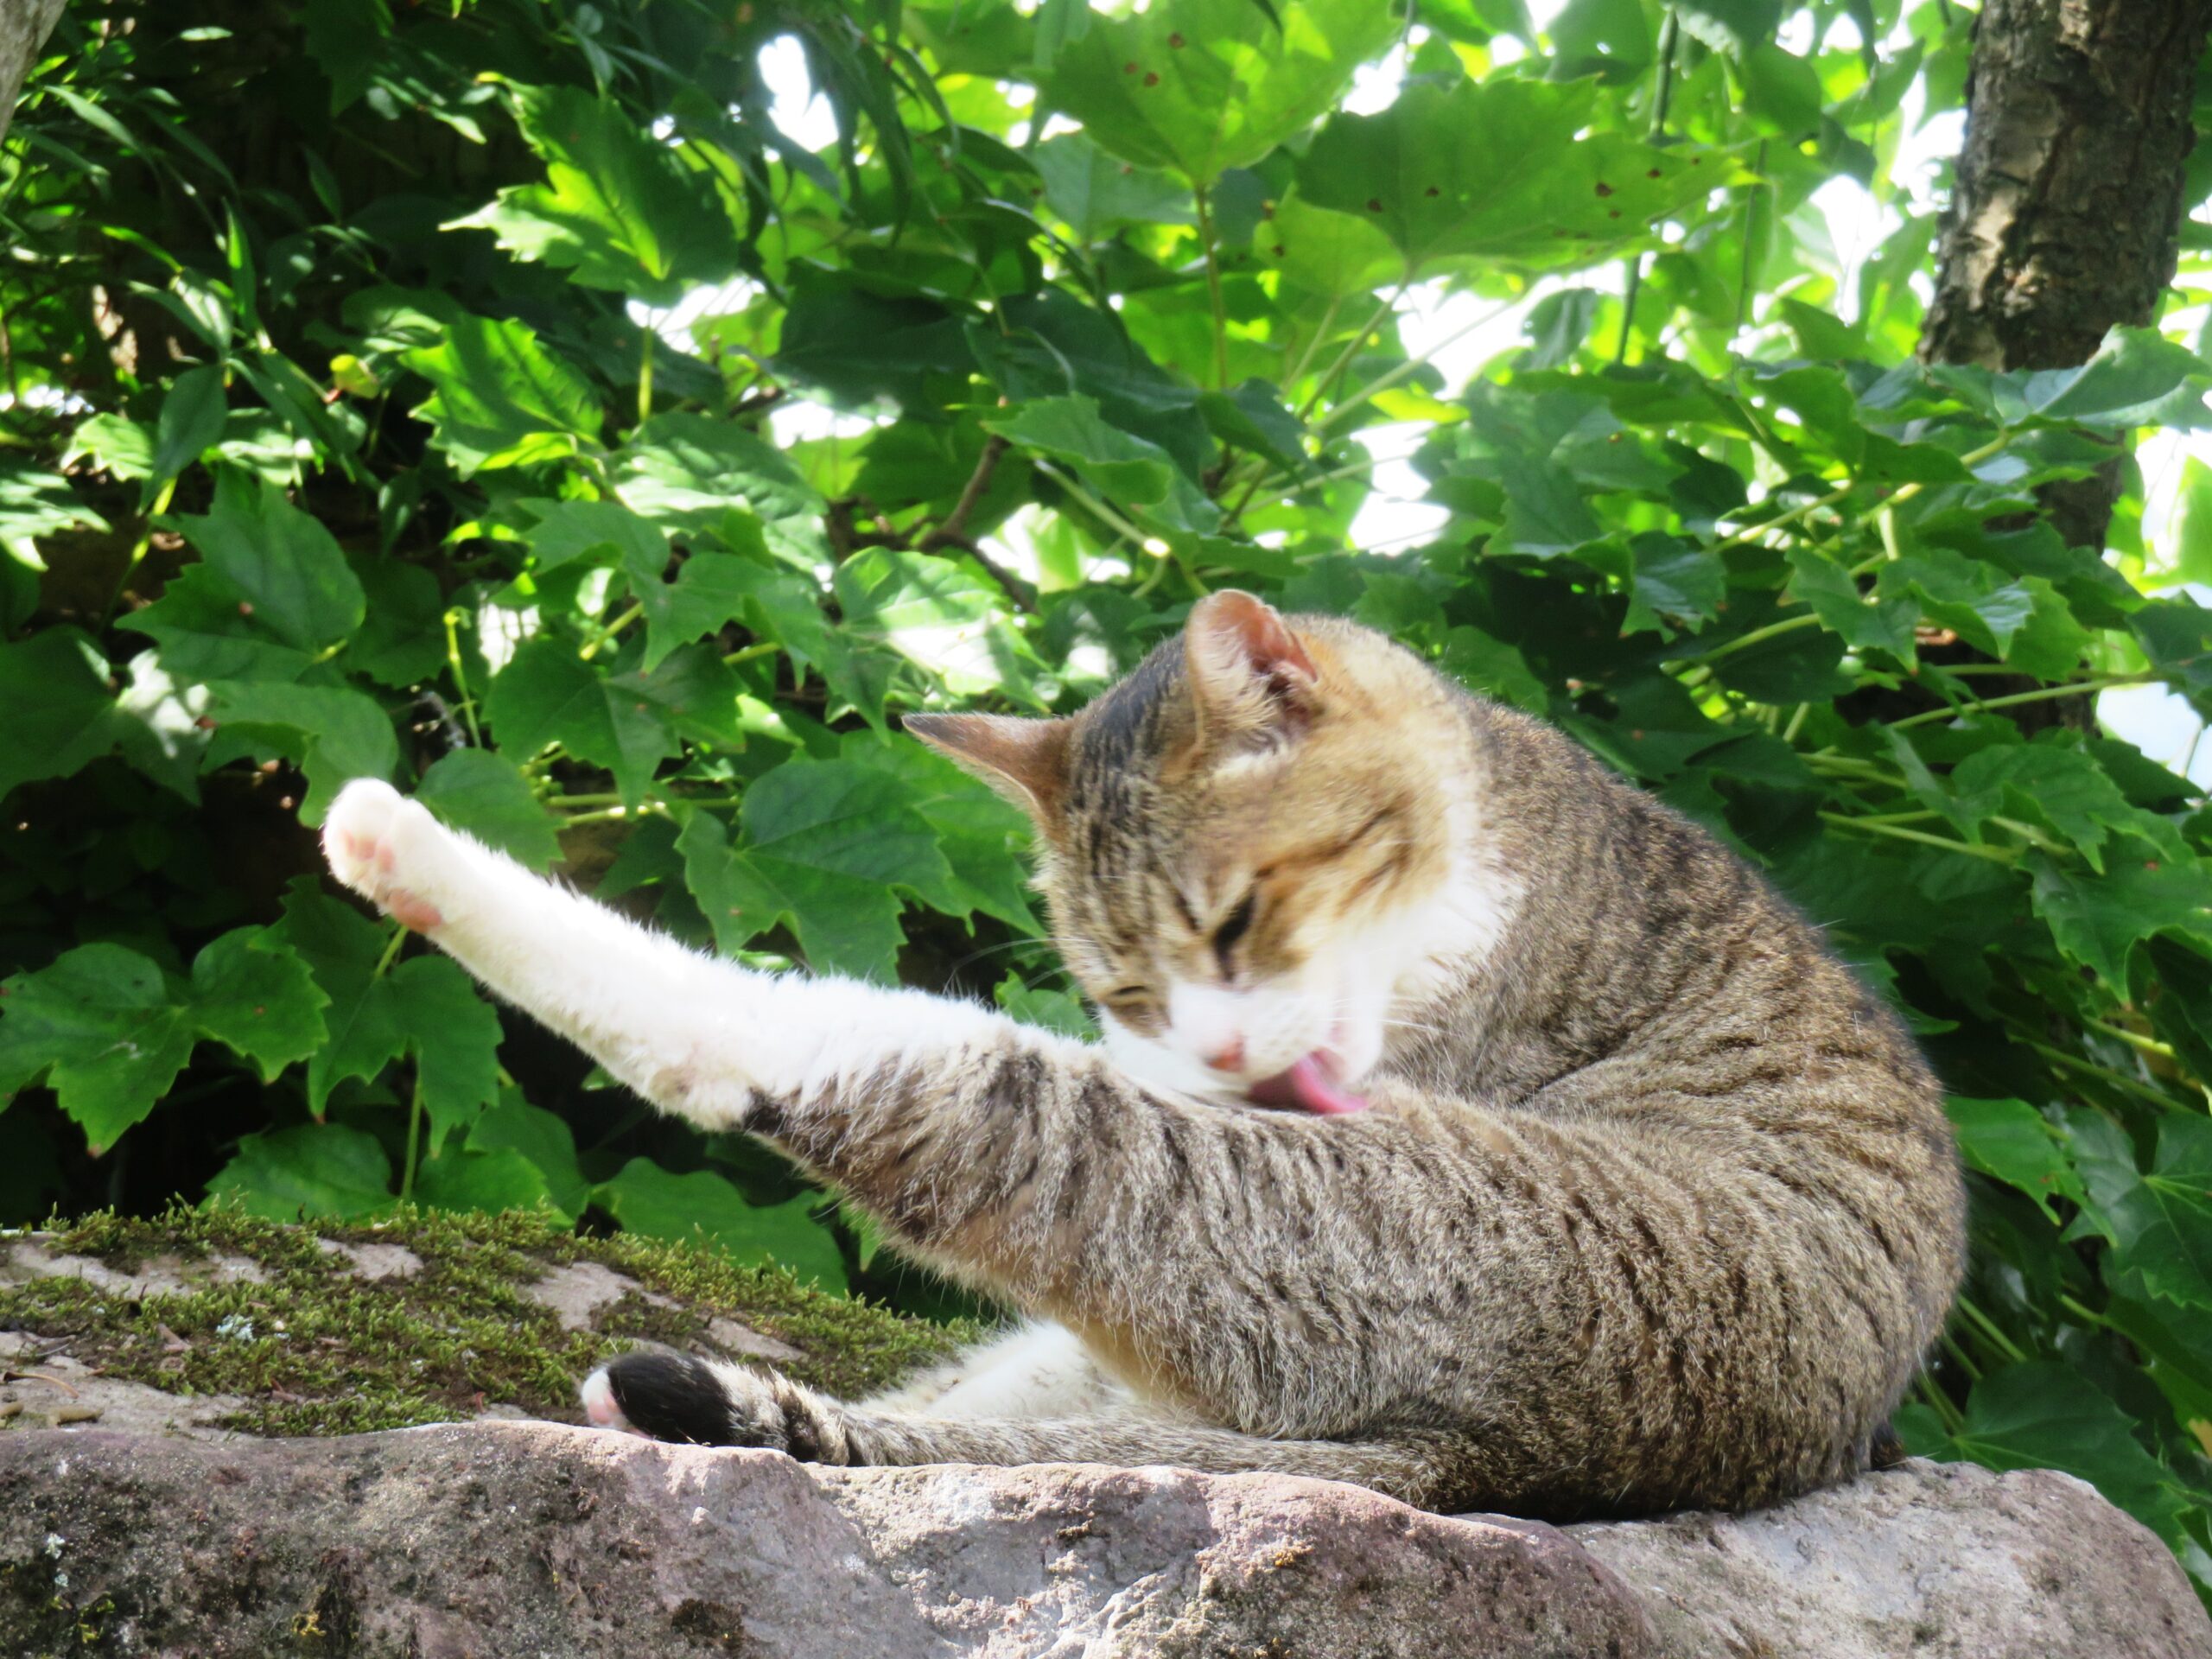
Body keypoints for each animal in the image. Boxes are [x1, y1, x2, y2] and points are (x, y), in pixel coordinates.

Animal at [321, 593, 1964, 1530]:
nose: (1216, 1042)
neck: (1497, 828)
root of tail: (1517, 1463)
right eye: (1124, 982)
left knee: (819, 1067)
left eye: (1234, 919)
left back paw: (397, 843)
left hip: (1288, 1207)